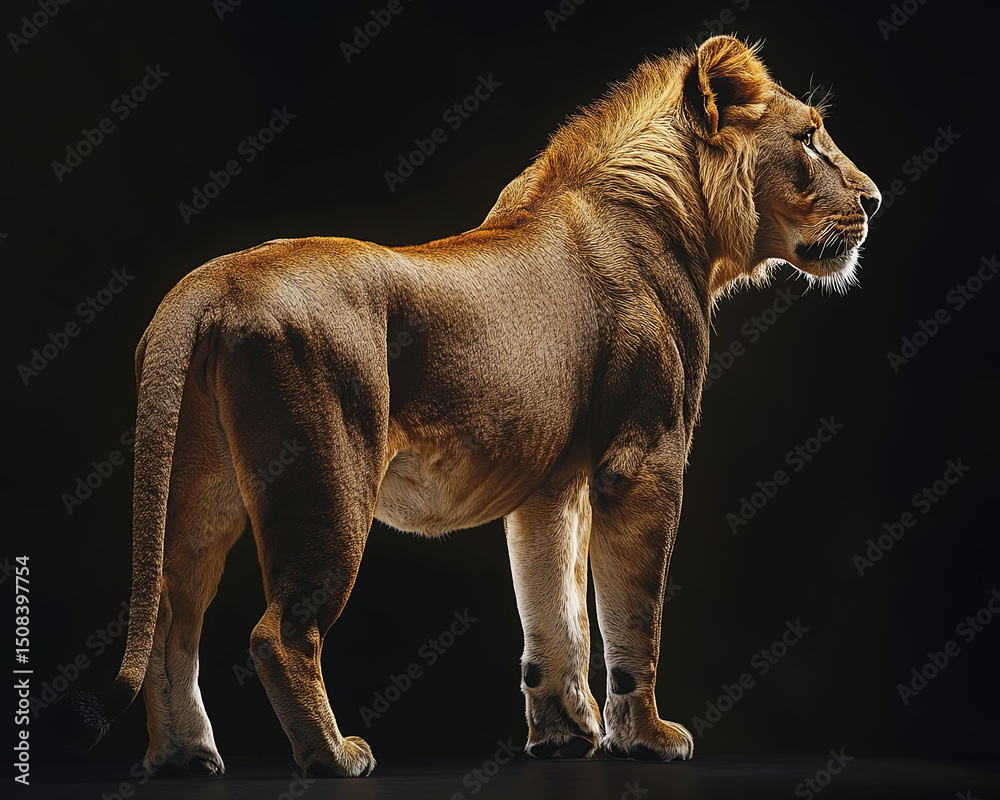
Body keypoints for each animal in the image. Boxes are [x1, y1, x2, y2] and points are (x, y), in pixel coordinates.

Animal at [53, 35, 879, 777]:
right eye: (809, 138)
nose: (874, 199)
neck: (685, 221)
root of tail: (209, 284)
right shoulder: (644, 460)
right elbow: (632, 618)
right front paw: (645, 738)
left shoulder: (552, 486)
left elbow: (556, 615)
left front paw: (564, 738)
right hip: (328, 478)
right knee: (278, 632)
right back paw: (332, 756)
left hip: (202, 490)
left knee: (172, 617)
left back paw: (186, 757)